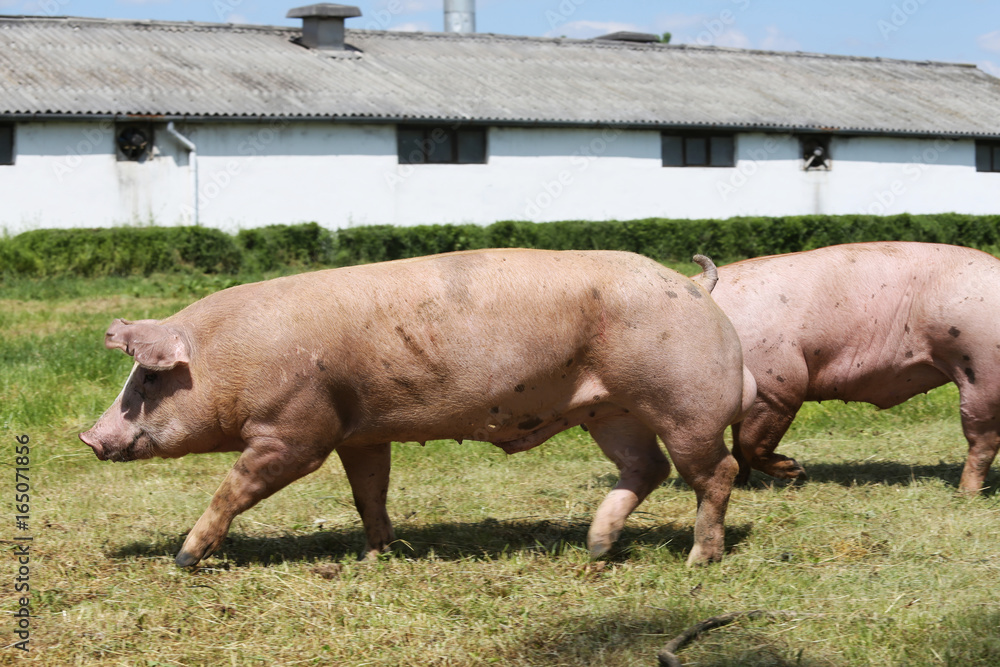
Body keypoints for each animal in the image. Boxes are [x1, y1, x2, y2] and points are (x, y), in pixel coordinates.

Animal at [80, 249, 755, 568]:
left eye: (148, 378)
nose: (89, 438)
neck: (230, 359)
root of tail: (697, 286)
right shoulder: (359, 432)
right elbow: (368, 492)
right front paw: (374, 555)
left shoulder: (296, 430)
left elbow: (236, 485)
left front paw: (183, 558)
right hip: (611, 411)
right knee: (647, 468)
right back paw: (596, 548)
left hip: (683, 401)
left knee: (713, 472)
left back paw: (697, 560)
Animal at [704, 241, 1000, 495]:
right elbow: (738, 443)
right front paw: (741, 483)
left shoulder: (777, 387)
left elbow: (751, 443)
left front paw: (797, 471)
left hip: (981, 367)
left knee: (983, 441)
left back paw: (964, 493)